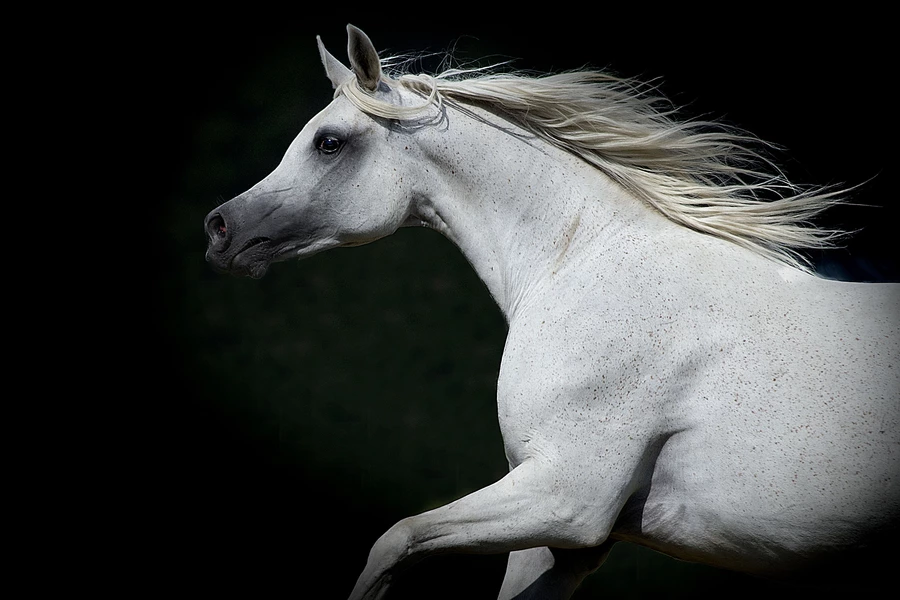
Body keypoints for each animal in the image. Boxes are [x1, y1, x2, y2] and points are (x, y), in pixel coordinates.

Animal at [204, 25, 899, 600]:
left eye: (328, 142)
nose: (219, 230)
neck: (583, 261)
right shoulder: (563, 544)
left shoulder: (564, 498)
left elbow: (393, 541)